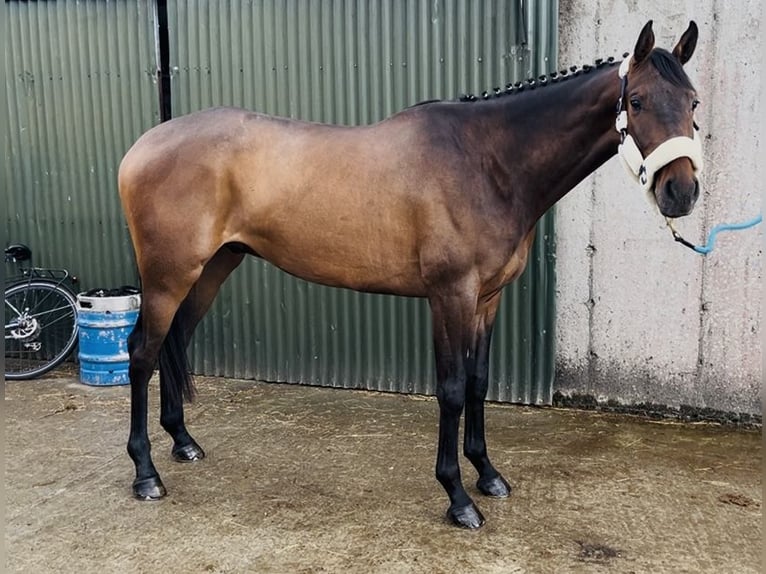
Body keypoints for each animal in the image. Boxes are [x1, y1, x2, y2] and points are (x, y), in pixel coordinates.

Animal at [119, 20, 702, 528]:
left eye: (693, 103)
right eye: (636, 101)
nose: (682, 191)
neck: (489, 161)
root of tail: (142, 146)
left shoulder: (487, 299)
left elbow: (478, 383)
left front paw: (487, 474)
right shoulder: (450, 296)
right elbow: (451, 389)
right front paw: (458, 497)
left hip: (212, 268)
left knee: (174, 341)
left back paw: (183, 443)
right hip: (169, 276)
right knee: (143, 353)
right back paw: (146, 474)